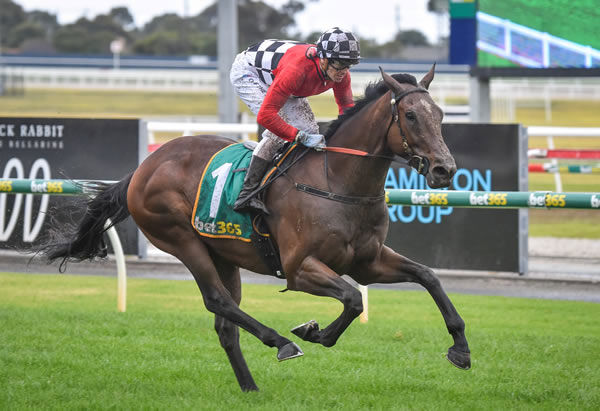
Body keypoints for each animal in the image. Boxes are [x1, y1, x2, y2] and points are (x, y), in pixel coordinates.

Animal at [37, 67, 472, 392]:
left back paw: (250, 387)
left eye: (440, 115)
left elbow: (427, 277)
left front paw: (461, 349)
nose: (444, 169)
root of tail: (144, 167)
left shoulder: (368, 262)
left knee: (225, 323)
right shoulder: (300, 269)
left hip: (222, 253)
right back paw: (281, 343)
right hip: (180, 239)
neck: (337, 181)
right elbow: (352, 299)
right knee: (218, 301)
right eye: (411, 116)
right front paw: (312, 332)